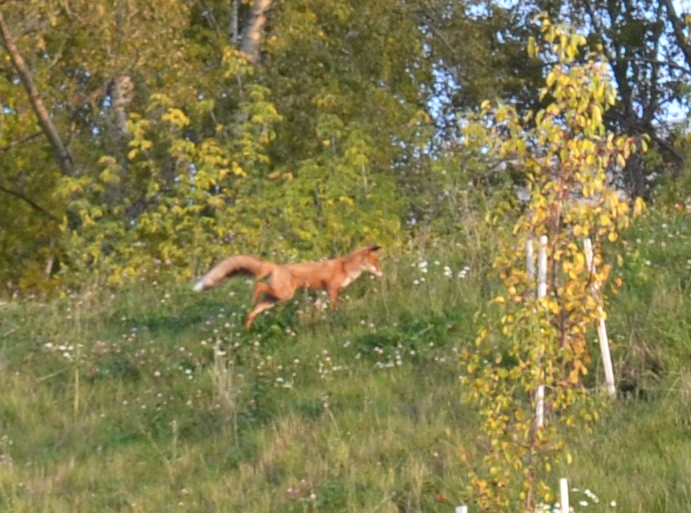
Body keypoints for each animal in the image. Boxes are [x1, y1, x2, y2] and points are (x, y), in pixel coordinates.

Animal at [193, 244, 384, 328]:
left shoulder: (323, 293)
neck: (346, 267)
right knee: (259, 285)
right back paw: (253, 297)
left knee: (252, 312)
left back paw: (247, 328)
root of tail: (276, 266)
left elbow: (319, 308)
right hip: (284, 294)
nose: (382, 273)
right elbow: (334, 307)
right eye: (375, 262)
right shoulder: (331, 290)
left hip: (274, 300)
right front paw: (335, 317)